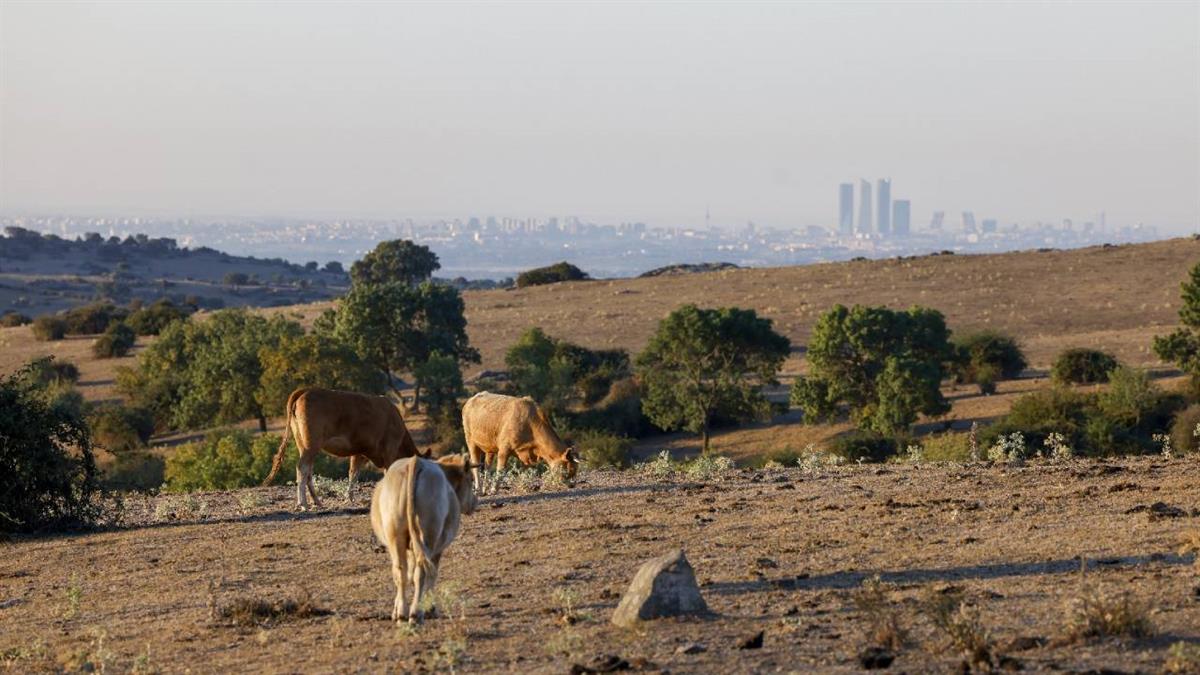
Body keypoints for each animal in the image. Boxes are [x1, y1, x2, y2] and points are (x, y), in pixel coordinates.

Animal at [264, 386, 422, 506]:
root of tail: (306, 390)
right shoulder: (390, 449)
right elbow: (386, 472)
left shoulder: (360, 452)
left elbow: (353, 473)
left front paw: (349, 498)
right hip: (311, 445)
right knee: (302, 467)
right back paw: (303, 503)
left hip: (302, 443)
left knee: (308, 470)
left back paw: (317, 501)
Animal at [369, 449, 477, 624]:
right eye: (471, 480)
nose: (475, 502)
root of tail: (415, 462)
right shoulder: (438, 547)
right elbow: (432, 573)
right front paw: (431, 609)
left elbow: (408, 574)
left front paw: (395, 609)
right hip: (429, 536)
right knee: (422, 572)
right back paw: (416, 613)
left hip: (396, 535)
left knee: (400, 571)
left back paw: (402, 613)